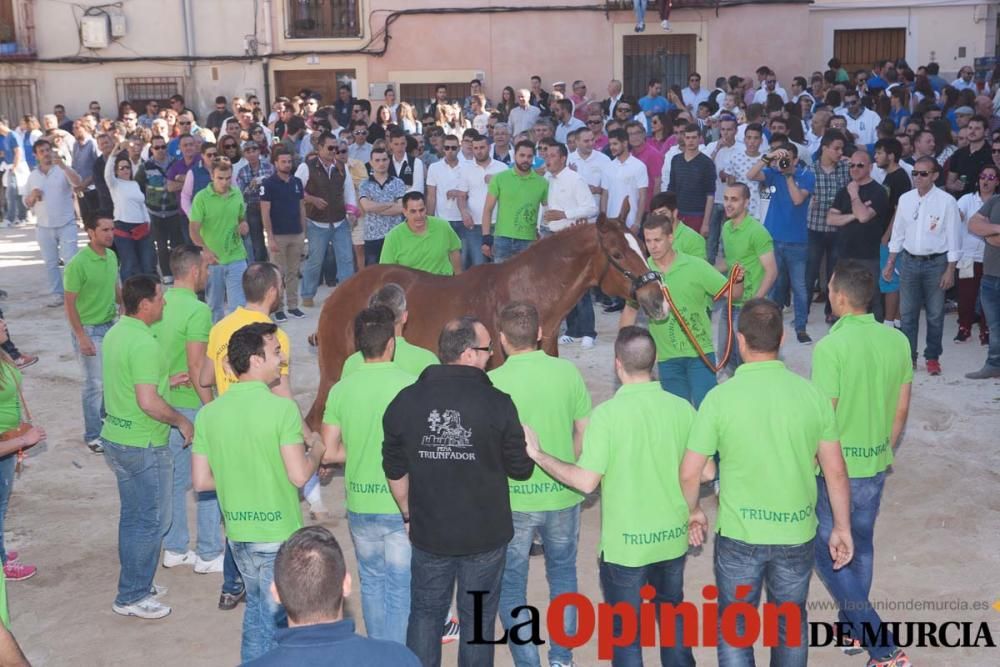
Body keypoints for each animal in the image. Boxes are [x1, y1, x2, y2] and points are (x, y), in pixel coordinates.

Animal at [304, 209, 664, 428]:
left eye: (643, 246)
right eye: (617, 254)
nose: (656, 298)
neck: (526, 294)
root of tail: (341, 291)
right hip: (334, 373)